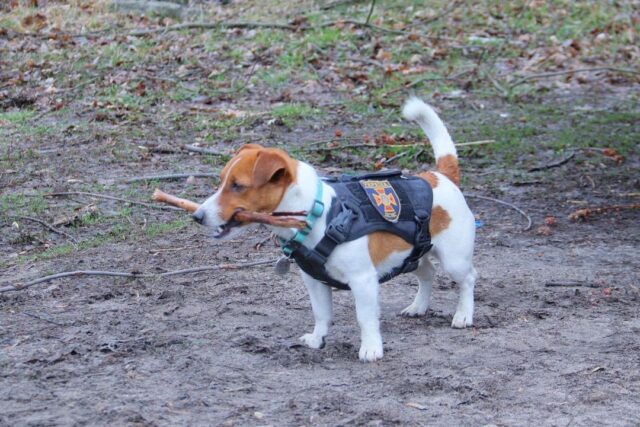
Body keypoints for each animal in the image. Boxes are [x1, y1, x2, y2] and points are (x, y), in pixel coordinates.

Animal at [192, 98, 478, 362]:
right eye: (221, 181)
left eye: (238, 186)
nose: (197, 215)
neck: (318, 212)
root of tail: (441, 176)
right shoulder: (314, 280)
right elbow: (321, 314)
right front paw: (317, 339)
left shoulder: (363, 280)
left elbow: (365, 318)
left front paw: (371, 348)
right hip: (409, 256)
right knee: (427, 272)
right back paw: (418, 306)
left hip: (453, 260)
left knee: (468, 279)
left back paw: (463, 314)